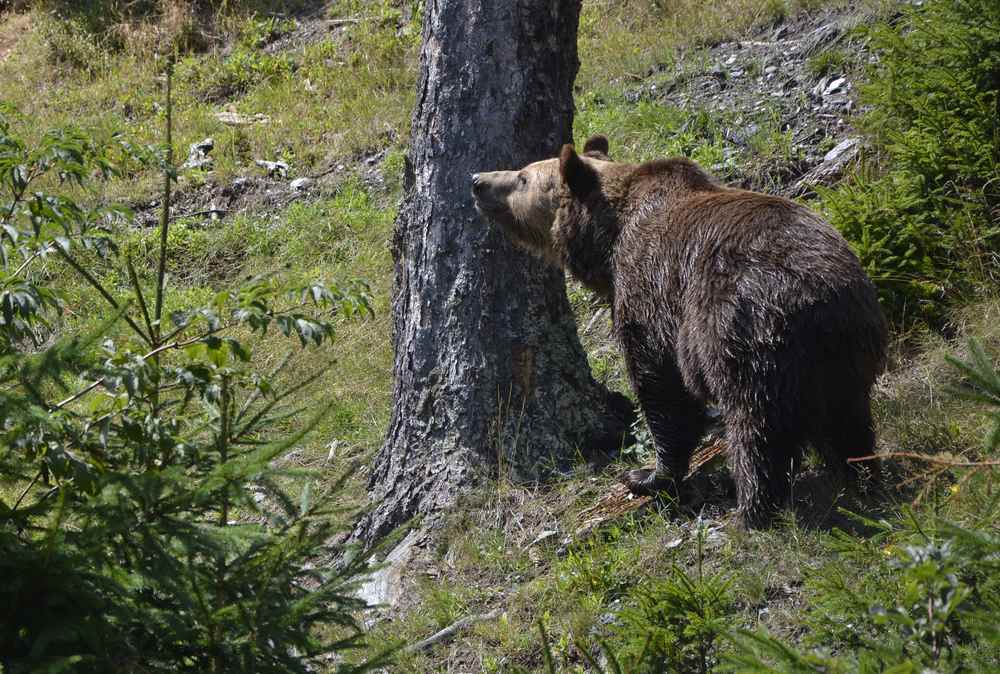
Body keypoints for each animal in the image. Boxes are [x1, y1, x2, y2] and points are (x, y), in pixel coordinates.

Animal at [472, 135, 888, 524]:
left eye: (523, 177)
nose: (478, 180)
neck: (608, 242)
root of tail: (822, 299)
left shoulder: (649, 289)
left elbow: (660, 385)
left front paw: (646, 475)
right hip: (848, 352)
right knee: (849, 420)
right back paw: (859, 477)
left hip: (744, 330)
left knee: (757, 426)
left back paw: (752, 510)